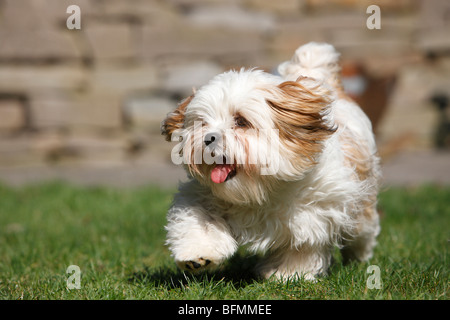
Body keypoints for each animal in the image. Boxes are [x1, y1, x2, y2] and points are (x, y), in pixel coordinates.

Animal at [162, 42, 380, 280]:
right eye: (202, 123)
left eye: (241, 121)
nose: (209, 138)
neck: (261, 190)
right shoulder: (201, 195)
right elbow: (200, 219)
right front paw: (198, 253)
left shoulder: (313, 214)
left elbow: (302, 245)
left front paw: (288, 273)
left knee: (363, 229)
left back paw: (360, 256)